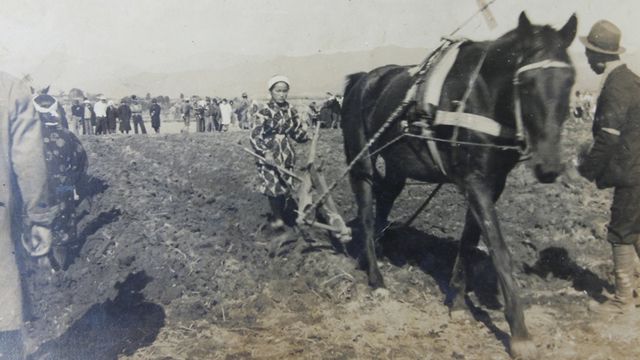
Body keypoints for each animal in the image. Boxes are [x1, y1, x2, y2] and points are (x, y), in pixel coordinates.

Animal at [342, 12, 576, 358]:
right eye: (525, 82)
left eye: (570, 80)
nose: (549, 167)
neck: (480, 95)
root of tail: (364, 79)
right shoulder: (474, 181)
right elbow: (498, 249)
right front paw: (519, 333)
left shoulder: (491, 182)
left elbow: (469, 240)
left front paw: (458, 302)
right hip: (362, 163)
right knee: (368, 214)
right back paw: (377, 277)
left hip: (397, 167)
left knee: (384, 202)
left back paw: (381, 253)